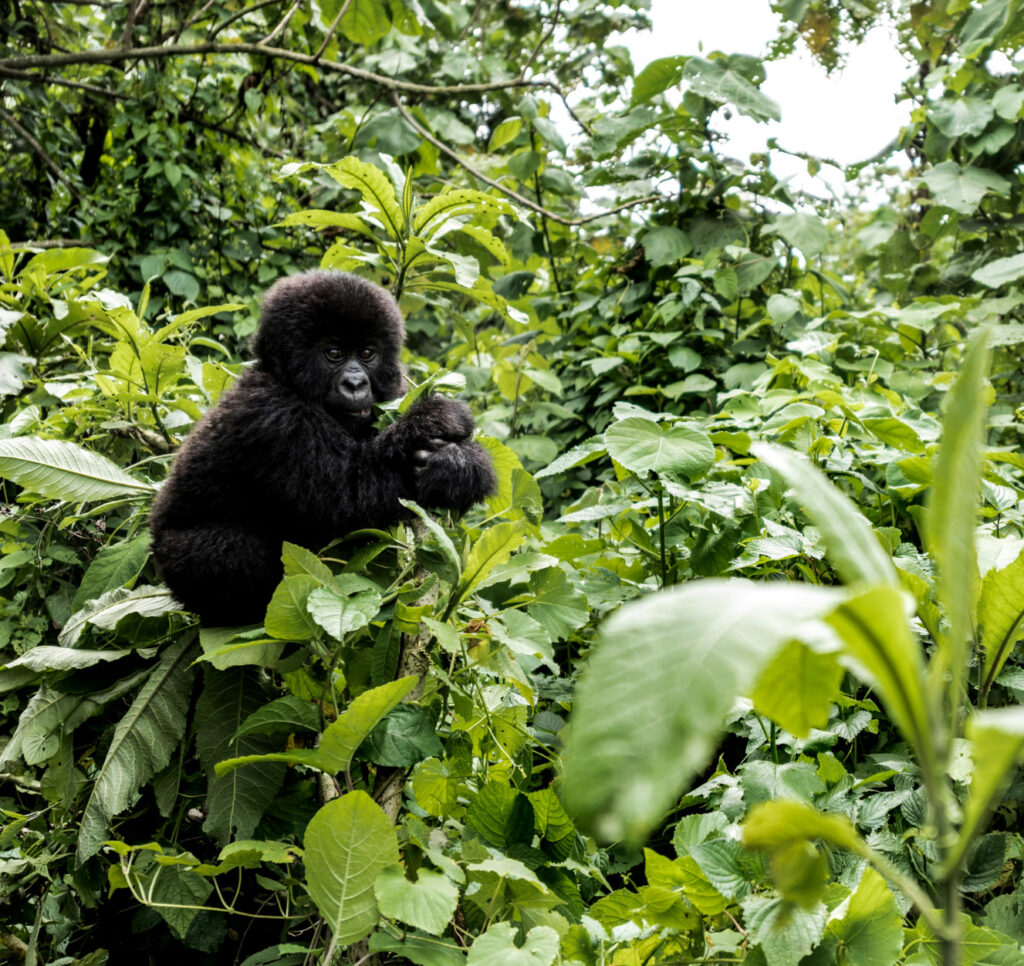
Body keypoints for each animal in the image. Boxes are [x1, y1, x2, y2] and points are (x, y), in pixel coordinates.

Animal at [148, 270, 495, 626]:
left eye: (367, 354)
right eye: (333, 353)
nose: (356, 384)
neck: (286, 380)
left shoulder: (395, 389)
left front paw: (460, 467)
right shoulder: (274, 418)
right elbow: (350, 494)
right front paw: (435, 424)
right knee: (226, 547)